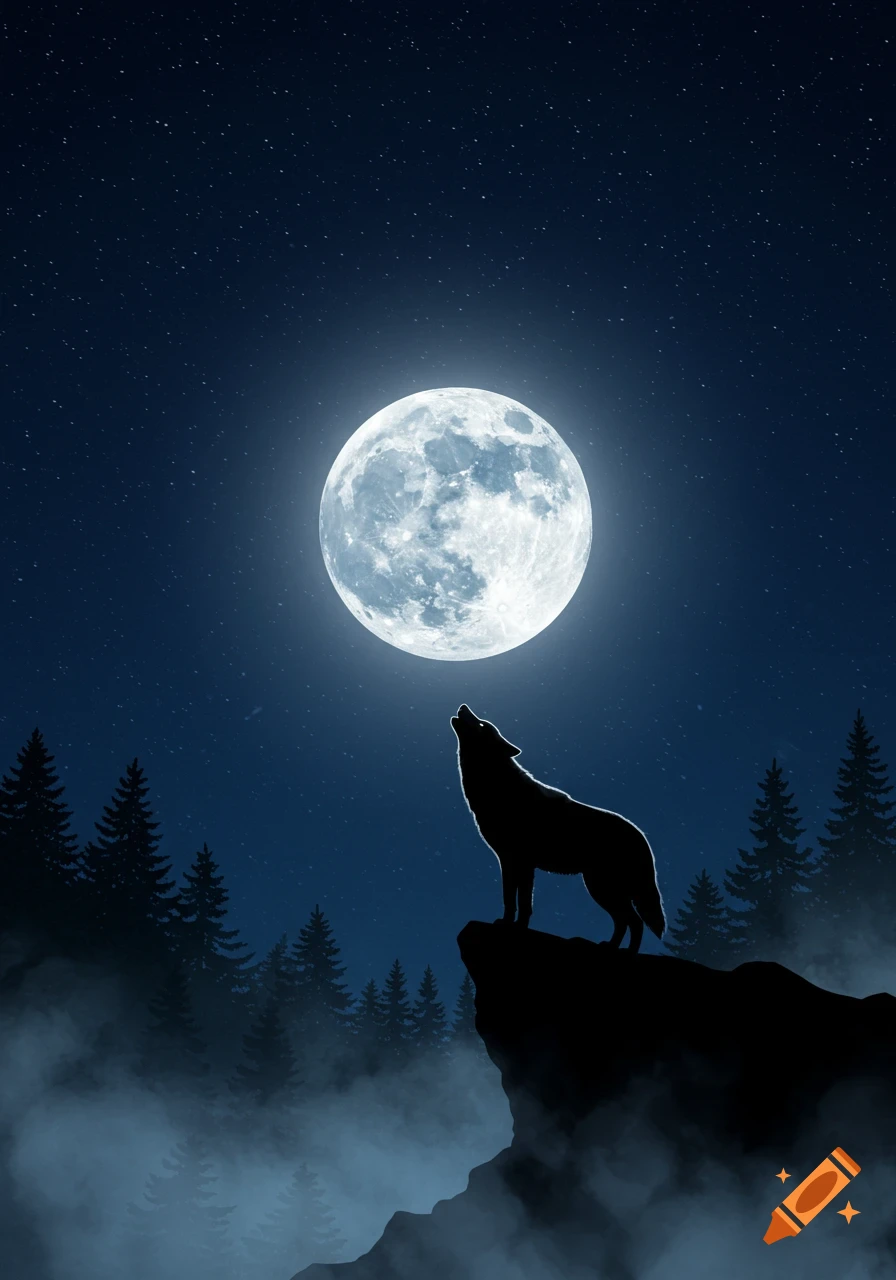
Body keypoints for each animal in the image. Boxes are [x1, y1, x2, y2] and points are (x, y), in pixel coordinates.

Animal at [450, 704, 666, 952]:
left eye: (482, 724)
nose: (463, 706)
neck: (497, 786)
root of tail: (641, 836)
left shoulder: (521, 862)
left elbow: (521, 901)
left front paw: (516, 928)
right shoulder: (510, 861)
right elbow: (511, 899)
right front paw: (509, 924)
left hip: (601, 888)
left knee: (635, 922)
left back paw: (626, 952)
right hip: (600, 888)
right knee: (624, 921)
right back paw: (609, 946)